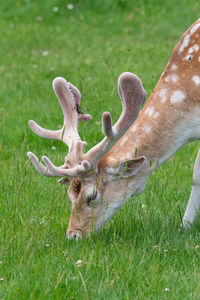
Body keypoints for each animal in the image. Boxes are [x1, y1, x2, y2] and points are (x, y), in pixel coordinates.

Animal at [27, 18, 200, 239]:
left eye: (92, 196)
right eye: (69, 195)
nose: (73, 235)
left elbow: (196, 174)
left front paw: (186, 225)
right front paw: (186, 225)